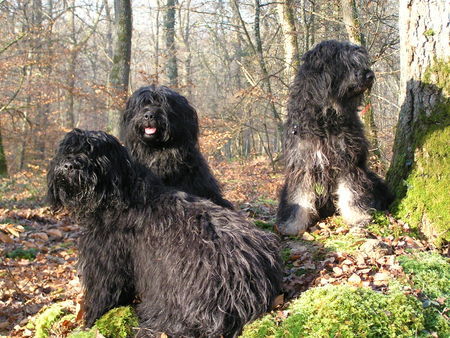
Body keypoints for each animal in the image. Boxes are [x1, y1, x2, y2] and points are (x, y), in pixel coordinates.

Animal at [47, 129, 284, 336]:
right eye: (67, 150)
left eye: (92, 151)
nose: (69, 165)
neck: (121, 192)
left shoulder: (106, 262)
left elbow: (102, 294)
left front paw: (88, 322)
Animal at [276, 39, 392, 235]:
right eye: (345, 63)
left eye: (360, 61)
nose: (370, 75)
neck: (325, 119)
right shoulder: (302, 165)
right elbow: (299, 197)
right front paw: (292, 225)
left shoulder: (349, 162)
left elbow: (352, 192)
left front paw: (358, 217)